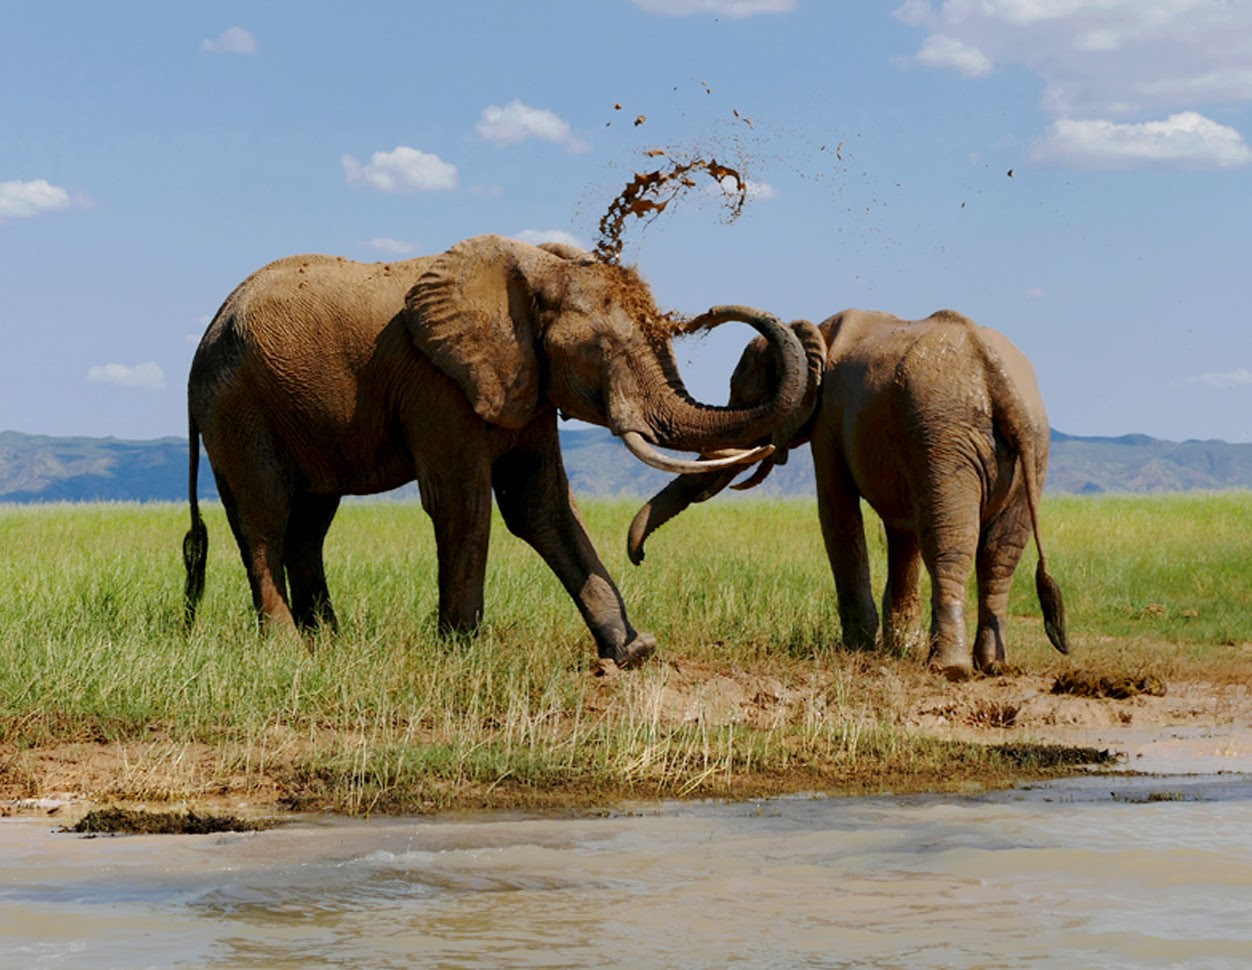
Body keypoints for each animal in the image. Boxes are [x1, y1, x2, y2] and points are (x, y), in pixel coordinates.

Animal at [183, 234, 810, 668]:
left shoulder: (528, 386)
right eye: (600, 350)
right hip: (238, 407)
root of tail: (204, 339)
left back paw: (329, 643)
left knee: (310, 522)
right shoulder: (438, 385)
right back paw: (289, 648)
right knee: (266, 517)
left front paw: (634, 653)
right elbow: (463, 504)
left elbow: (542, 506)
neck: (534, 271)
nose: (709, 314)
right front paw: (461, 651)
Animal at [626, 307, 1069, 679]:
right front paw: (898, 646)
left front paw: (858, 646)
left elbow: (838, 513)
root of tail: (996, 375)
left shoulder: (829, 420)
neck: (814, 331)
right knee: (1001, 551)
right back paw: (992, 666)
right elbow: (902, 528)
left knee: (949, 541)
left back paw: (950, 668)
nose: (639, 557)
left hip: (948, 435)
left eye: (745, 400)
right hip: (1027, 446)